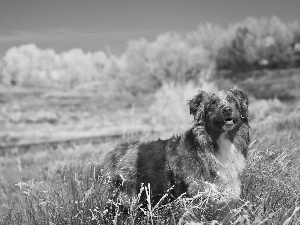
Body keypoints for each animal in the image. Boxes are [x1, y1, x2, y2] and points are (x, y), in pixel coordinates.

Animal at [102, 88, 250, 220]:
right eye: (212, 103)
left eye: (232, 101)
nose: (227, 109)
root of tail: (115, 150)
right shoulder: (191, 202)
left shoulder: (225, 205)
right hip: (126, 200)